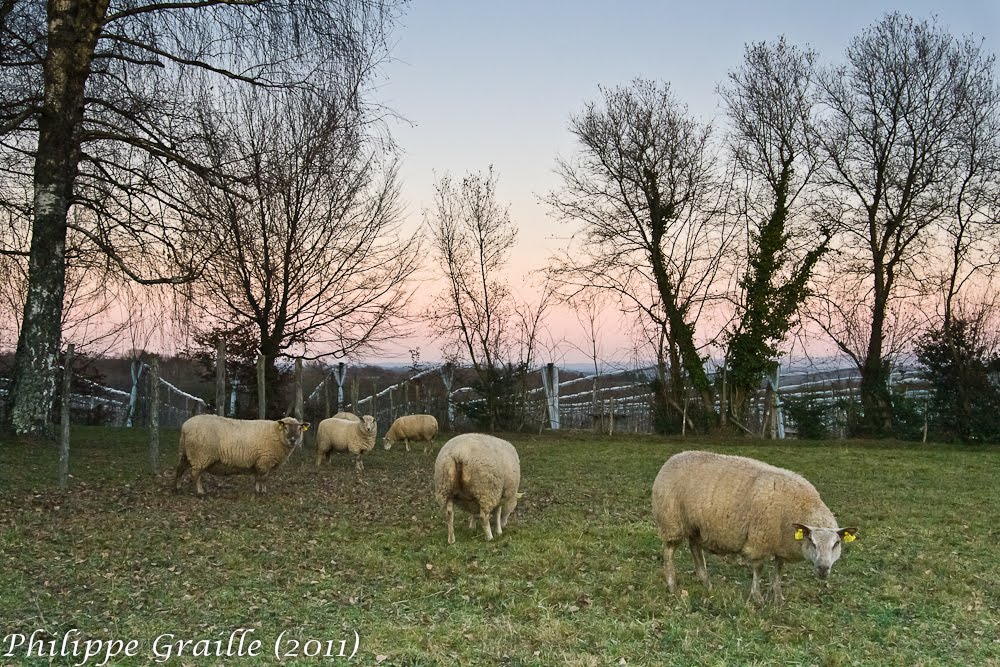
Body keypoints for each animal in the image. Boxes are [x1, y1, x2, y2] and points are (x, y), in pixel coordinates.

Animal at [174, 418, 308, 496]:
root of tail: (185, 426)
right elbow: (264, 478)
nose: (293, 440)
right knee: (195, 475)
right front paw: (263, 492)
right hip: (200, 455)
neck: (276, 434)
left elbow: (257, 477)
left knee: (180, 469)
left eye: (300, 428)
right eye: (285, 427)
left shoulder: (258, 461)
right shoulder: (265, 460)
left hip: (186, 453)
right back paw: (200, 492)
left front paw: (257, 490)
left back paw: (178, 488)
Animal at [648, 452, 860, 604]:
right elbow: (759, 568)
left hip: (695, 525)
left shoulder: (779, 545)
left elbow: (779, 570)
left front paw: (777, 596)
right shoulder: (760, 540)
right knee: (668, 552)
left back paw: (706, 582)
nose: (823, 568)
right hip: (672, 521)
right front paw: (757, 597)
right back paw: (672, 585)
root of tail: (672, 458)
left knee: (694, 547)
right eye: (812, 541)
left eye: (836, 543)